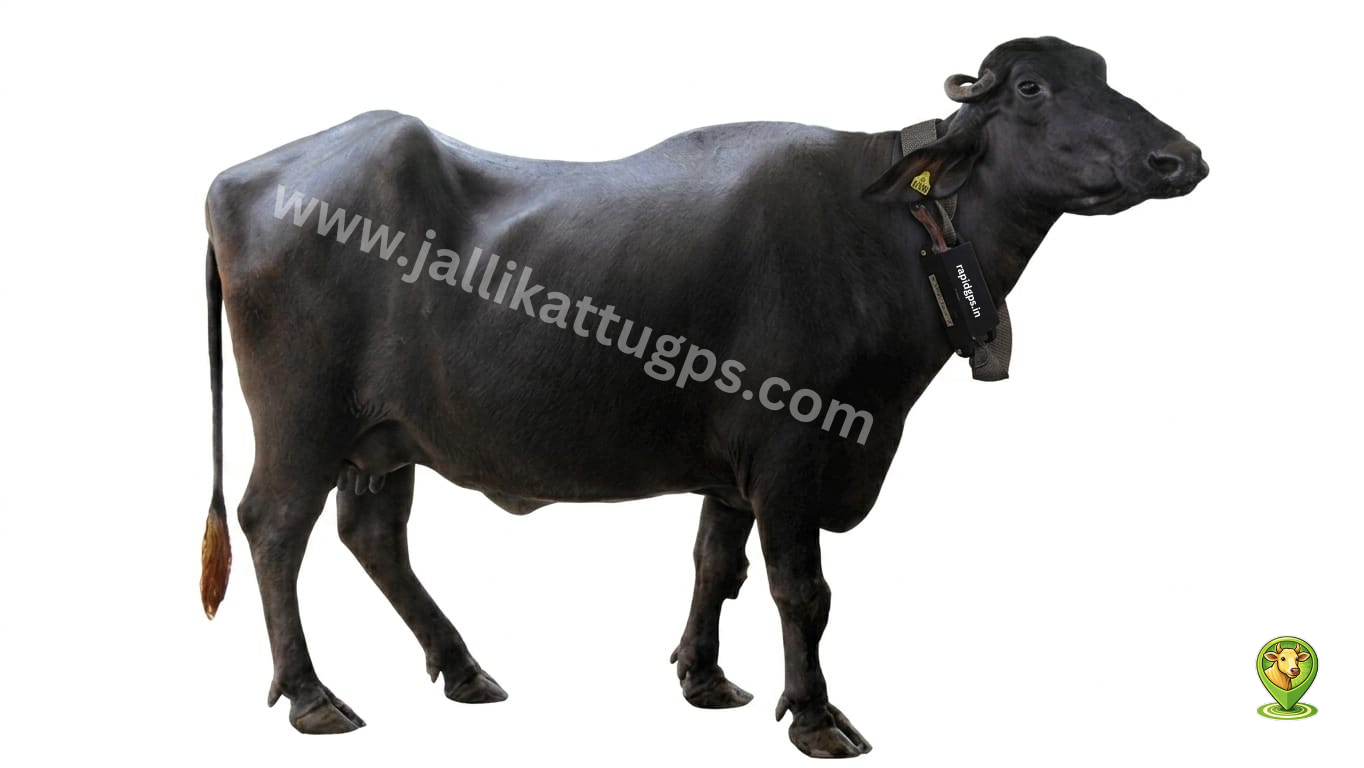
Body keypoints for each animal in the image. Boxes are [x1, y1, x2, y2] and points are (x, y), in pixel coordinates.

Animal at [199, 36, 1207, 758]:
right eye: (1032, 88)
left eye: (1102, 74)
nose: (1179, 157)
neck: (893, 236)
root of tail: (239, 178)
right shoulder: (794, 453)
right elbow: (802, 588)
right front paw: (816, 715)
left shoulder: (732, 472)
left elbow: (715, 566)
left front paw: (705, 679)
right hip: (300, 423)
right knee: (275, 527)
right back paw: (313, 695)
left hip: (387, 435)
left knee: (372, 536)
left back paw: (463, 667)